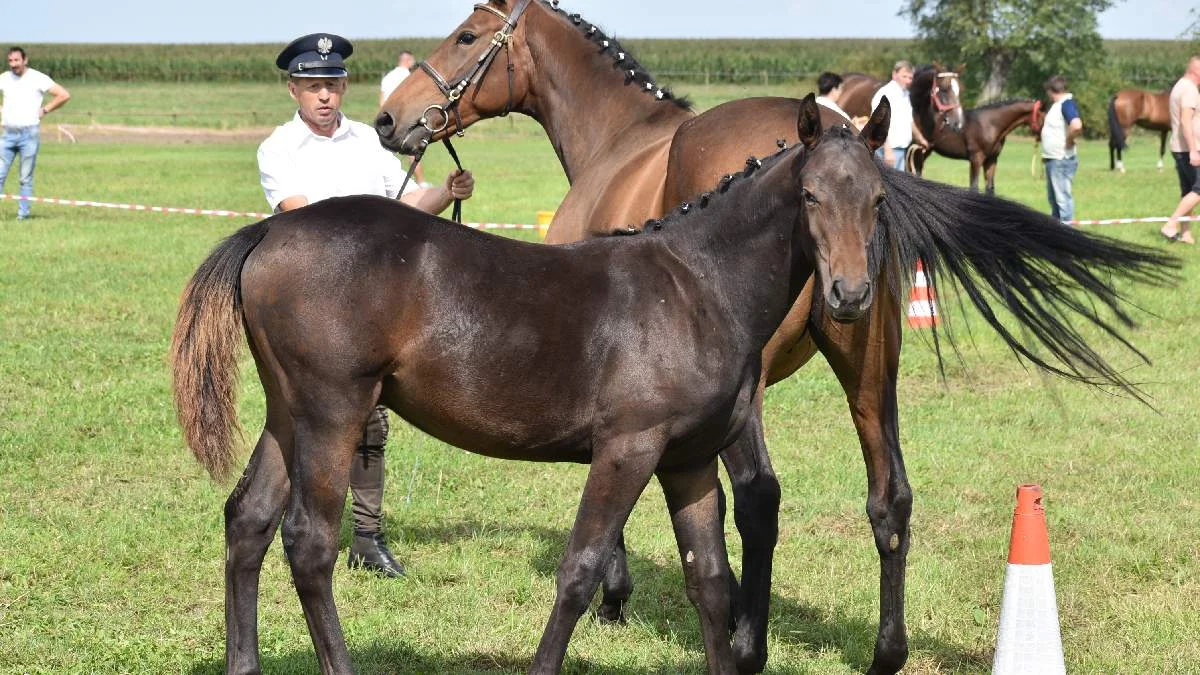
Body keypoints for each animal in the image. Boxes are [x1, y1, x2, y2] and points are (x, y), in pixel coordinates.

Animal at [174, 99, 897, 672]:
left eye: (880, 199)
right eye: (810, 196)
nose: (850, 295)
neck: (699, 285)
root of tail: (271, 228)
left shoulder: (688, 461)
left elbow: (711, 582)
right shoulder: (628, 449)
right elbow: (580, 569)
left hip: (288, 414)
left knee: (248, 520)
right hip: (333, 412)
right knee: (309, 543)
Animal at [907, 97, 1041, 193]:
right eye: (1042, 115)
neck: (990, 124)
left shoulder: (991, 159)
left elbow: (990, 188)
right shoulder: (976, 158)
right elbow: (974, 187)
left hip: (923, 150)